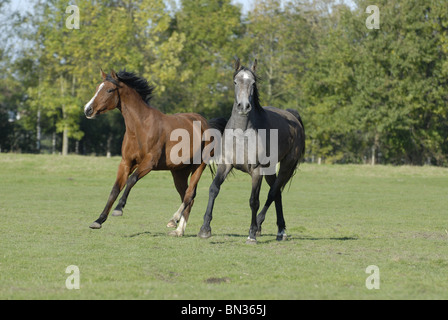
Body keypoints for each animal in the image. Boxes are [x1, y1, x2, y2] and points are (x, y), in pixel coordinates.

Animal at [82, 69, 226, 236]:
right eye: (97, 88)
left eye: (110, 90)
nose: (88, 110)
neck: (140, 127)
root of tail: (206, 124)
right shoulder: (126, 163)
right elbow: (115, 189)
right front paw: (99, 220)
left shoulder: (149, 163)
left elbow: (131, 180)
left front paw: (118, 209)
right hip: (179, 172)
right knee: (187, 197)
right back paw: (178, 230)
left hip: (199, 166)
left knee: (189, 194)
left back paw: (174, 221)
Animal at [198, 57, 306, 244]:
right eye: (235, 82)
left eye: (253, 83)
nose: (243, 106)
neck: (242, 134)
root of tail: (292, 117)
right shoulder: (225, 165)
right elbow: (214, 189)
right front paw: (205, 229)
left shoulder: (256, 171)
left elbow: (253, 200)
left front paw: (251, 233)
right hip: (270, 169)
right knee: (277, 193)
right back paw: (280, 230)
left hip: (285, 166)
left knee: (272, 193)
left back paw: (263, 227)